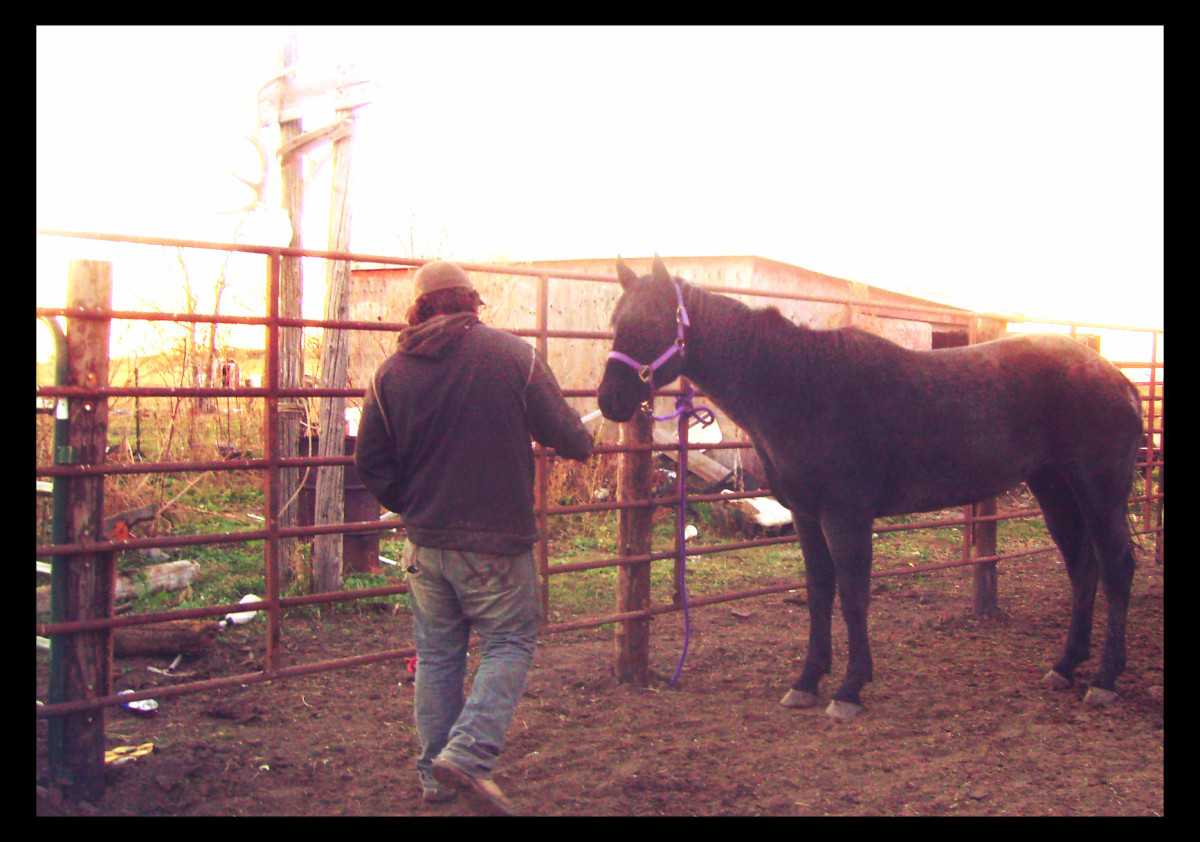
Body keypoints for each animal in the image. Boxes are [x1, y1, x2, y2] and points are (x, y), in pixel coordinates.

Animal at [600, 259, 1142, 724]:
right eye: (614, 321)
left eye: (650, 323)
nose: (610, 401)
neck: (799, 388)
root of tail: (1118, 380)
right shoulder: (806, 515)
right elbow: (819, 591)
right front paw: (807, 681)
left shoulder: (847, 515)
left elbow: (854, 596)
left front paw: (849, 689)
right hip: (1055, 492)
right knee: (1083, 568)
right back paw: (1066, 666)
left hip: (1100, 496)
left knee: (1116, 569)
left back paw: (1105, 679)